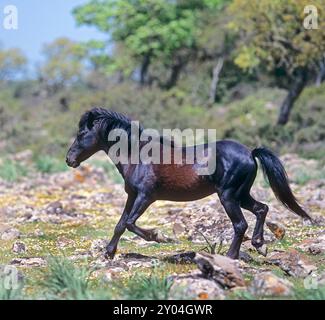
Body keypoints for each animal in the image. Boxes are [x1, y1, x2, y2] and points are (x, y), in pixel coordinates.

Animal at [66, 108, 312, 260]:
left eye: (81, 133)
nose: (69, 159)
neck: (138, 155)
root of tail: (250, 153)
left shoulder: (146, 196)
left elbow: (129, 223)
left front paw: (158, 236)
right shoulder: (132, 196)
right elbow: (120, 224)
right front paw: (109, 252)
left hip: (228, 196)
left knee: (240, 224)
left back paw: (230, 256)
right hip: (240, 195)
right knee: (261, 209)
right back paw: (260, 245)